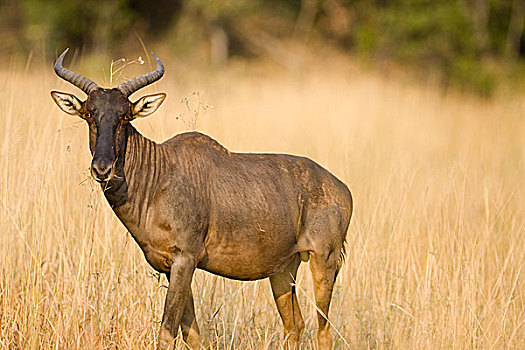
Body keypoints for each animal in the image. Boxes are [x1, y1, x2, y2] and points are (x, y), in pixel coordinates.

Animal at [51, 47, 352, 348]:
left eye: (125, 115)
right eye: (89, 113)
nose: (103, 169)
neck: (160, 174)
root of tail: (342, 189)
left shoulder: (186, 260)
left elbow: (167, 331)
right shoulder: (171, 267)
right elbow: (192, 333)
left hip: (323, 260)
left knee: (323, 329)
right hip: (283, 269)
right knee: (295, 326)